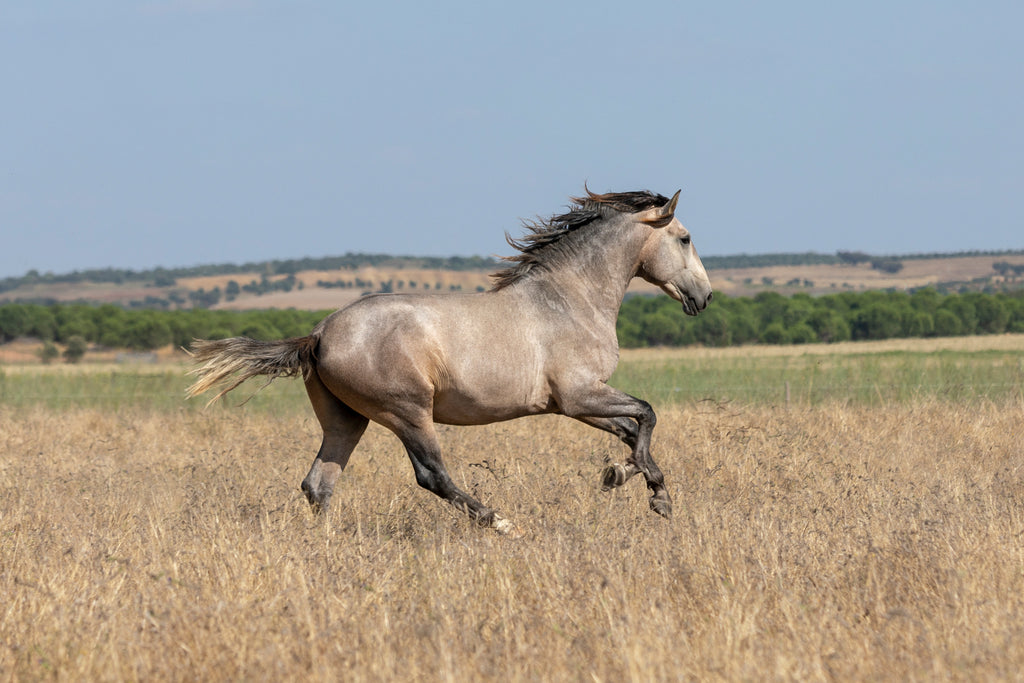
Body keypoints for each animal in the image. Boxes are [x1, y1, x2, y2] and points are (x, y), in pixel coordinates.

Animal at [186, 188, 712, 532]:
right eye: (685, 238)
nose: (704, 297)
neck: (569, 300)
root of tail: (317, 334)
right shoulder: (580, 395)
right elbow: (647, 414)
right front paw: (650, 491)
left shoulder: (574, 405)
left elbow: (629, 430)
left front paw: (632, 481)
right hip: (408, 413)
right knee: (431, 476)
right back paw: (497, 521)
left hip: (346, 421)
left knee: (319, 483)